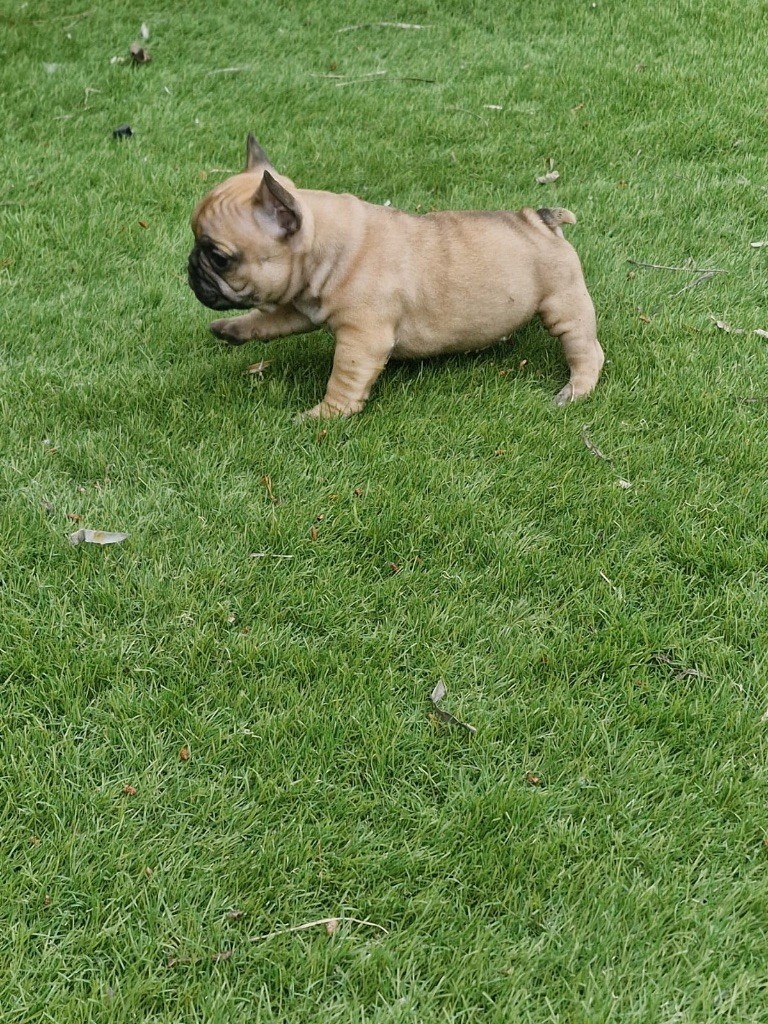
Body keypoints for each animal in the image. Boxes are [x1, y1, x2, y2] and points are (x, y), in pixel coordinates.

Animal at [189, 135, 606, 415]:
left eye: (220, 258)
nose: (190, 266)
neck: (328, 246)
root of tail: (540, 219)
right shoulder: (298, 305)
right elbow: (267, 320)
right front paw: (232, 329)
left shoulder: (362, 340)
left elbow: (344, 378)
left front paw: (326, 416)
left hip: (564, 303)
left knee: (586, 350)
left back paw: (575, 390)